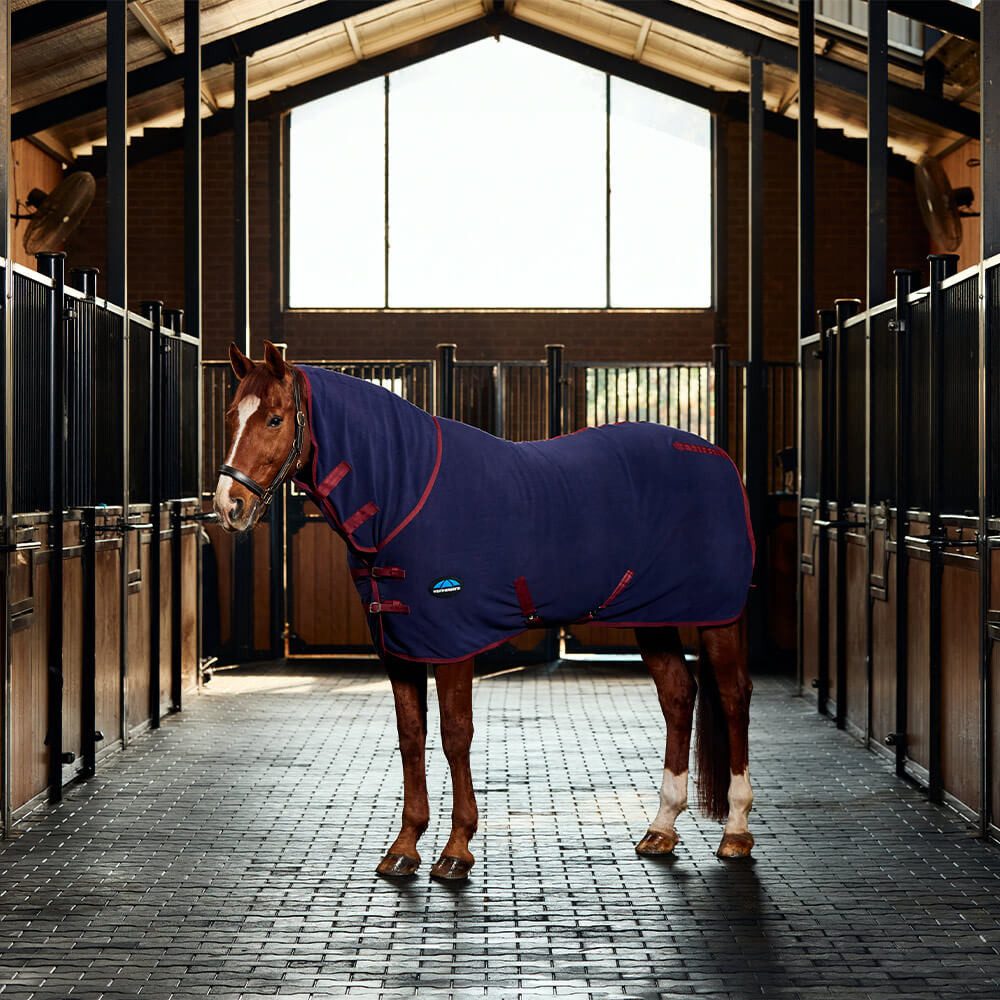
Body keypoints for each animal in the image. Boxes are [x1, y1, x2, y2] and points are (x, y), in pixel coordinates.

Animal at [213, 341, 756, 881]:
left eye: (275, 419)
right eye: (231, 416)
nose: (228, 506)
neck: (404, 491)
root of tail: (719, 458)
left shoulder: (452, 639)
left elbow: (455, 734)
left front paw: (456, 849)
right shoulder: (399, 642)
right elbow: (411, 735)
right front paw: (404, 847)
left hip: (718, 616)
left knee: (732, 697)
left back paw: (735, 832)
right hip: (652, 616)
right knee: (678, 696)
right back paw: (661, 829)